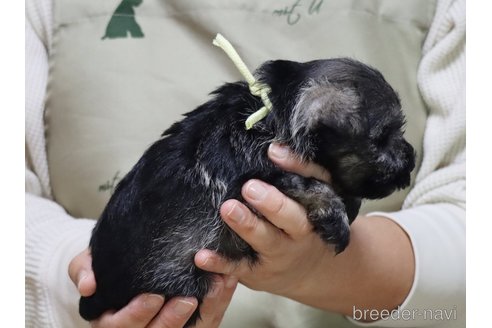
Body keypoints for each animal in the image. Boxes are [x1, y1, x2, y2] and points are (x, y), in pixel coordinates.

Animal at [80, 58, 416, 326]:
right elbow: (312, 184)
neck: (272, 116)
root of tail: (95, 297)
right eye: (383, 136)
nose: (411, 159)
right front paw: (336, 216)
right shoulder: (255, 180)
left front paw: (350, 205)